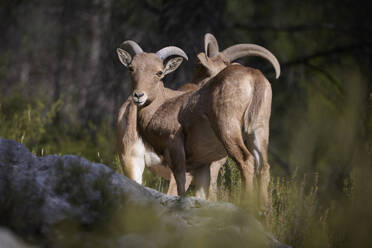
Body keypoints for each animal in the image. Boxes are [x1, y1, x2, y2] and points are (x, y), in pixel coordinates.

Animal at [116, 33, 280, 207]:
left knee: (246, 160)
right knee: (263, 166)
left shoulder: (179, 153)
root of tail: (253, 77)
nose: (139, 95)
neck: (161, 107)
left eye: (159, 72)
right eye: (131, 68)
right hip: (258, 129)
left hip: (227, 129)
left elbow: (182, 187)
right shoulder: (202, 165)